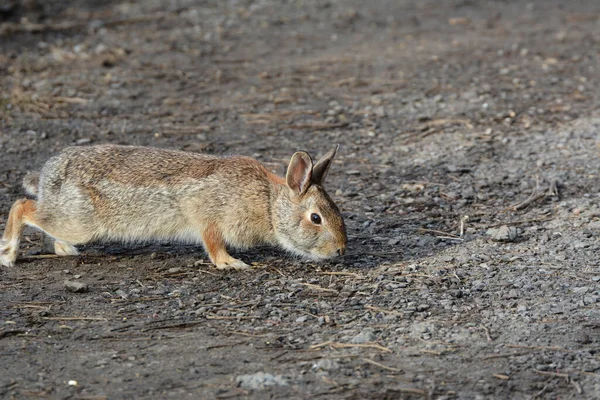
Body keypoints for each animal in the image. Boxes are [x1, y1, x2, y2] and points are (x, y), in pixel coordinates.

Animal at [0, 144, 346, 268]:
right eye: (316, 218)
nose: (341, 250)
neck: (269, 204)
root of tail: (48, 176)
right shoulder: (209, 218)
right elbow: (212, 243)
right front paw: (231, 264)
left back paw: (63, 250)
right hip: (80, 222)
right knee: (22, 206)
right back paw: (8, 255)